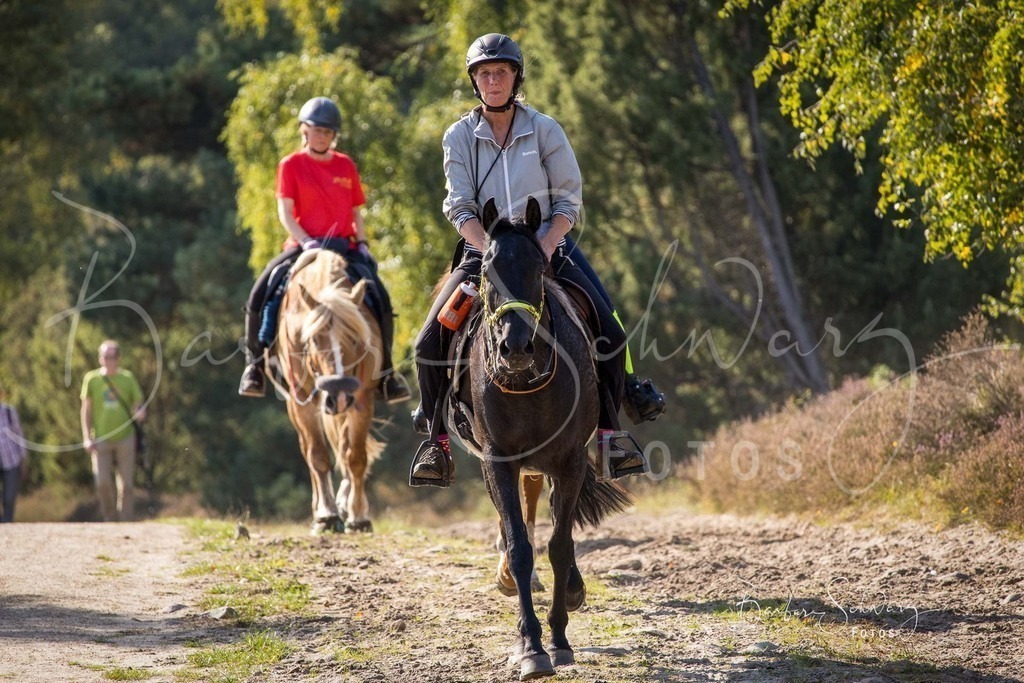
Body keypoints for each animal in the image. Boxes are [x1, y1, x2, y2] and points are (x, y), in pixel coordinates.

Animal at [271, 248, 383, 535]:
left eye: (356, 338)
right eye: (313, 339)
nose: (339, 393)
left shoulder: (362, 398)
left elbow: (355, 456)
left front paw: (358, 516)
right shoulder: (301, 401)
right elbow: (318, 455)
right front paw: (327, 515)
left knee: (343, 447)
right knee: (310, 451)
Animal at [450, 197, 632, 680]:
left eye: (537, 267)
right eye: (487, 268)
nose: (515, 347)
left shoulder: (569, 461)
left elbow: (560, 545)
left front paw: (560, 637)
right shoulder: (496, 462)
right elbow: (520, 546)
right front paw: (531, 645)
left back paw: (570, 588)